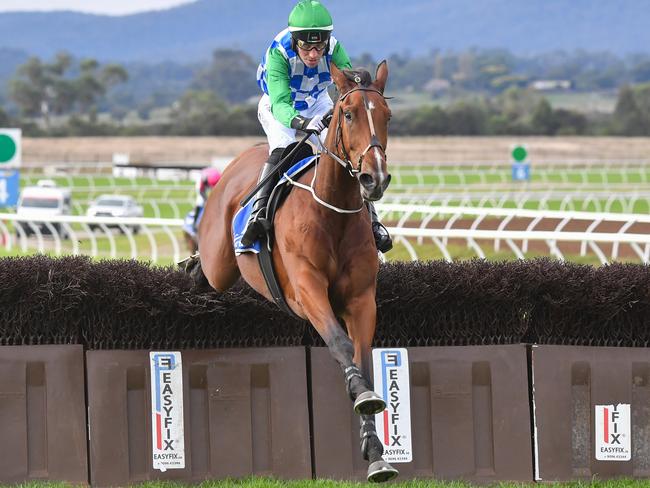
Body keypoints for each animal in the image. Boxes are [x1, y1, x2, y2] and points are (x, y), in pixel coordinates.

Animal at [190, 61, 398, 480]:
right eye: (347, 114)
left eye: (387, 116)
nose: (375, 178)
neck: (333, 212)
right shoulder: (307, 291)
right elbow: (340, 344)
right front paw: (362, 396)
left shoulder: (361, 298)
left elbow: (364, 356)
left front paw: (375, 449)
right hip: (220, 264)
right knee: (208, 270)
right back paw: (191, 264)